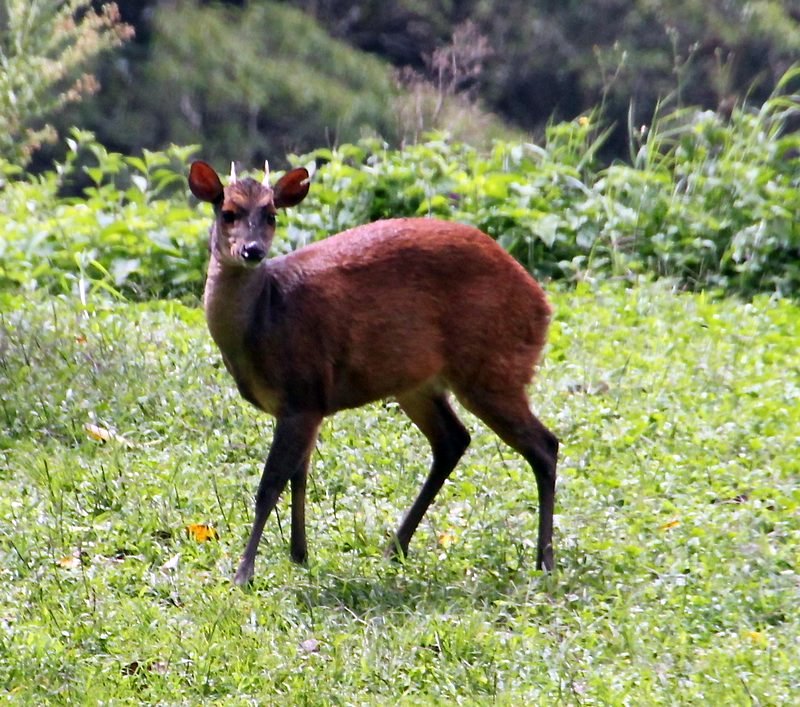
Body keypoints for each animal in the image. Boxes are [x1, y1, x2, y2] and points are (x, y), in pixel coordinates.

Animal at [190, 160, 560, 588]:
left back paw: (544, 560)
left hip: (493, 368)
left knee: (544, 445)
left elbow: (270, 484)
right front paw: (298, 554)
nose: (252, 251)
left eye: (271, 214)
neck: (265, 316)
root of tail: (542, 305)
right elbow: (299, 477)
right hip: (418, 383)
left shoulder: (303, 392)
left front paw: (244, 573)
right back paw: (395, 547)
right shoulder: (307, 404)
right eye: (227, 212)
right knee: (454, 440)